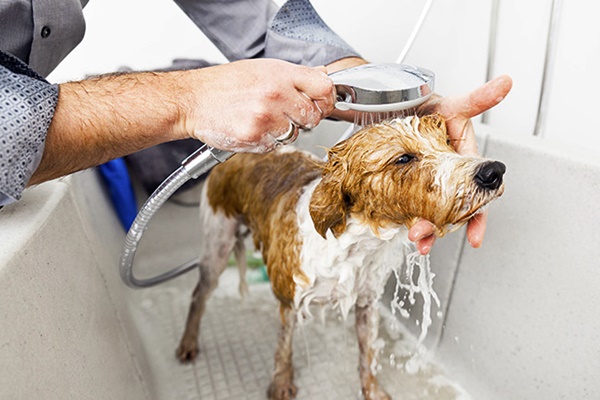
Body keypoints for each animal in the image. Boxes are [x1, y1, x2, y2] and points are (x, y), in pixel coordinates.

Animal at [175, 113, 506, 400]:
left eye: (447, 141)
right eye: (404, 158)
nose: (493, 171)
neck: (357, 244)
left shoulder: (367, 302)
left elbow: (367, 353)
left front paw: (372, 390)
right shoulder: (289, 298)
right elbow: (284, 348)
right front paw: (281, 384)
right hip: (217, 242)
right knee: (198, 293)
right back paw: (188, 343)